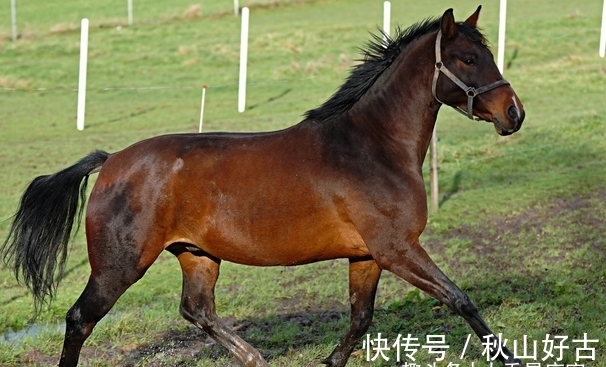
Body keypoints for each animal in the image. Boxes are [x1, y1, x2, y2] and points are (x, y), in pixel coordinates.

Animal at [1, 6, 528, 367]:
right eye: (467, 58)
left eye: (488, 54)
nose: (514, 113)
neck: (371, 146)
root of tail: (110, 163)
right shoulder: (397, 248)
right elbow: (459, 299)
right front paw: (510, 357)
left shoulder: (367, 256)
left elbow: (360, 319)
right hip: (119, 265)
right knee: (80, 318)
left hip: (197, 254)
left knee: (197, 310)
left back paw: (253, 357)